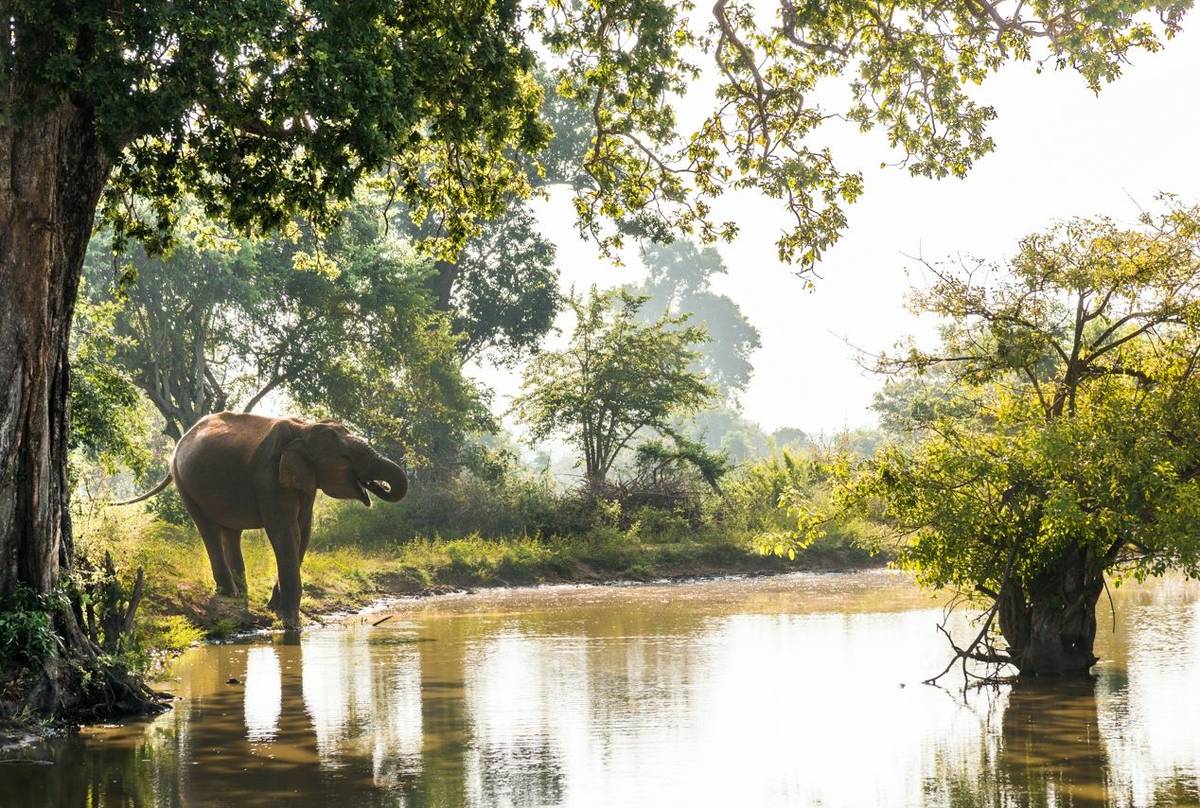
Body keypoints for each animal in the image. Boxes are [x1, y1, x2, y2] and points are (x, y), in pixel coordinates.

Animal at [118, 413, 408, 629]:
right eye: (345, 458)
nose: (377, 486)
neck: (303, 428)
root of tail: (181, 441)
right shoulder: (268, 475)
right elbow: (285, 531)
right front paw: (290, 622)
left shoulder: (302, 481)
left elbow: (303, 531)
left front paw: (274, 607)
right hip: (185, 483)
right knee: (207, 528)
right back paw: (230, 593)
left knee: (230, 531)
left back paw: (241, 593)